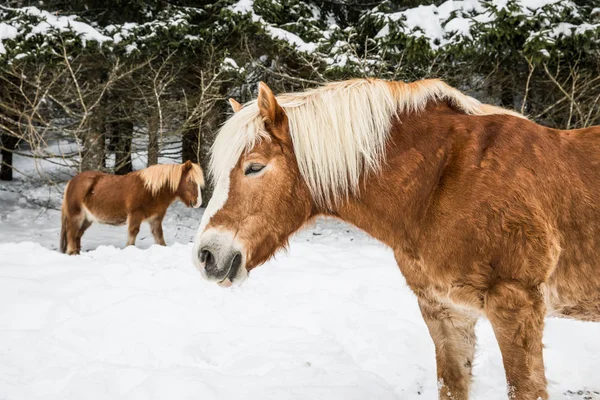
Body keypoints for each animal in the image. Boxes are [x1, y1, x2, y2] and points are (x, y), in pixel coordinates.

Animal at [60, 161, 204, 255]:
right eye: (190, 180)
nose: (198, 203)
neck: (151, 190)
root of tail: (71, 182)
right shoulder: (136, 215)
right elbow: (133, 233)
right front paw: (129, 249)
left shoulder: (156, 219)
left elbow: (159, 236)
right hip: (76, 216)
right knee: (71, 232)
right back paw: (72, 252)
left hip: (87, 219)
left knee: (78, 234)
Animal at [191, 79, 600, 400]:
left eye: (254, 167)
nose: (206, 256)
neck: (445, 179)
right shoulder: (445, 310)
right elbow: (452, 386)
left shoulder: (515, 304)